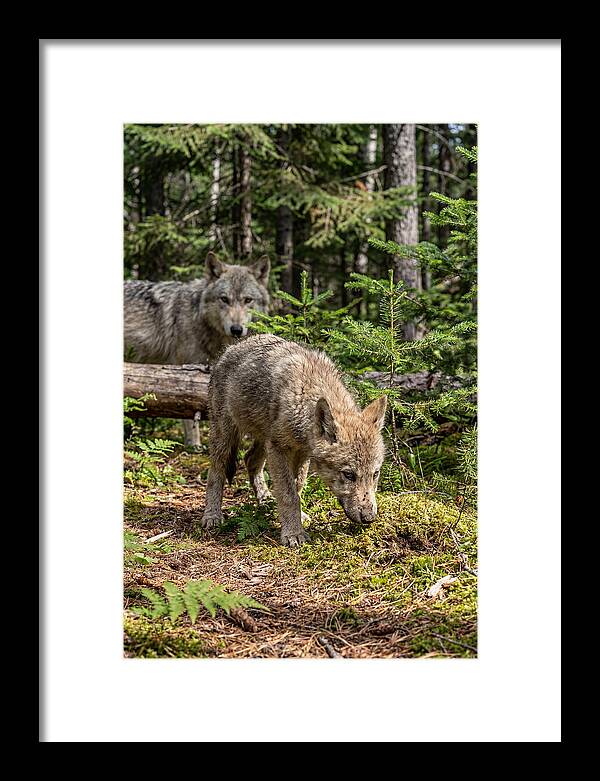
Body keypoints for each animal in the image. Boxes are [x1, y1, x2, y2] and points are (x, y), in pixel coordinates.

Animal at [123, 252, 271, 447]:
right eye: (224, 299)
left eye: (248, 300)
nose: (236, 329)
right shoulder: (185, 372)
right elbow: (189, 414)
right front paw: (194, 445)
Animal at [200, 334, 387, 546]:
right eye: (349, 475)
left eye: (375, 474)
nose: (369, 517)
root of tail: (229, 349)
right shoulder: (279, 449)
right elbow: (288, 494)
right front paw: (293, 534)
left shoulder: (302, 453)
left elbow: (297, 487)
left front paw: (297, 518)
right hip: (226, 436)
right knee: (216, 471)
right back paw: (212, 515)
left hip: (264, 440)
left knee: (250, 460)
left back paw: (265, 500)